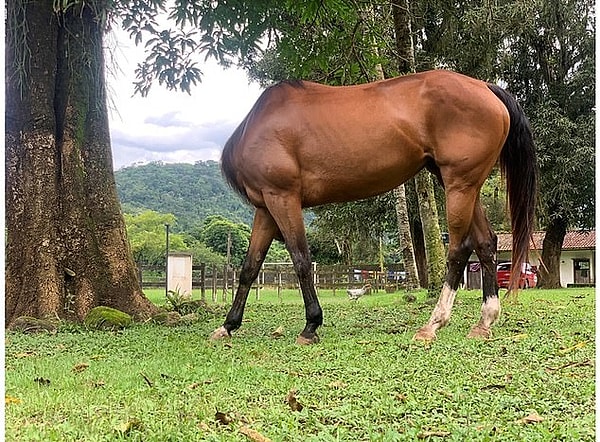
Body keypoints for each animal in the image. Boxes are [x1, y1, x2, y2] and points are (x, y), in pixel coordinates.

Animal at [212, 70, 540, 346]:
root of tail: (485, 87)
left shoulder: (283, 197)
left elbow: (301, 260)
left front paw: (311, 325)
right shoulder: (266, 207)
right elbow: (250, 267)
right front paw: (228, 325)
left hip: (459, 185)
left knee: (459, 249)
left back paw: (433, 324)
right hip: (465, 187)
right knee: (485, 243)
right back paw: (485, 321)